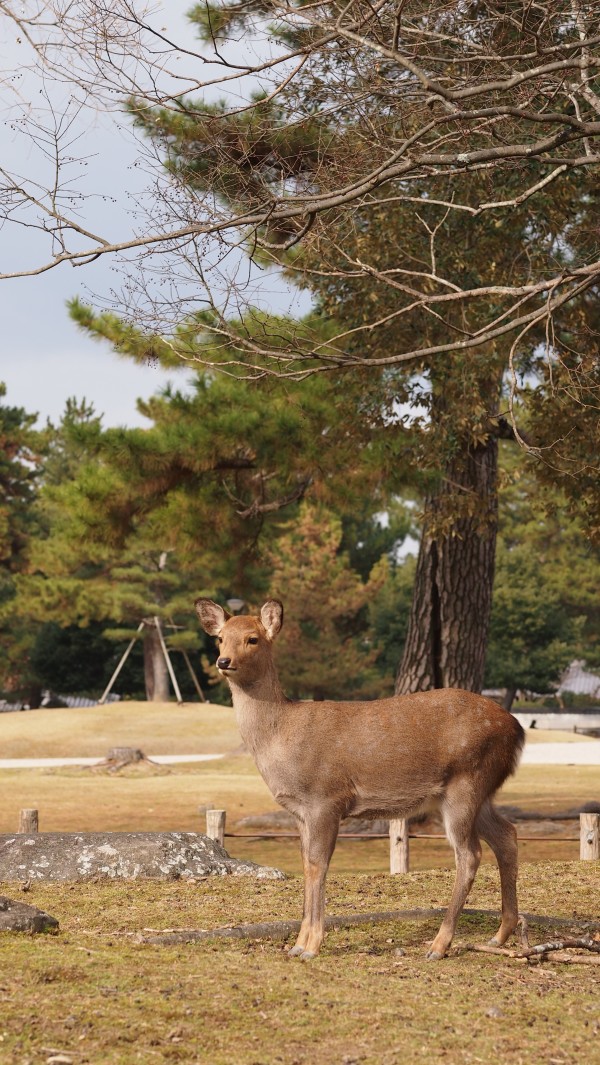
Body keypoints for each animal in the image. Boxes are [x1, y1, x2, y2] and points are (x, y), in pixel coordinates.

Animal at [195, 596, 524, 962]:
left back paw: (439, 945)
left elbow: (319, 864)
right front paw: (297, 943)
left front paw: (310, 945)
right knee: (507, 836)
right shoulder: (300, 811)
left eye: (252, 638)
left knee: (469, 854)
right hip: (478, 792)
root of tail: (517, 729)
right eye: (220, 638)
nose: (223, 661)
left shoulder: (326, 797)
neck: (280, 738)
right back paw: (500, 934)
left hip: (466, 782)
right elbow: (306, 864)